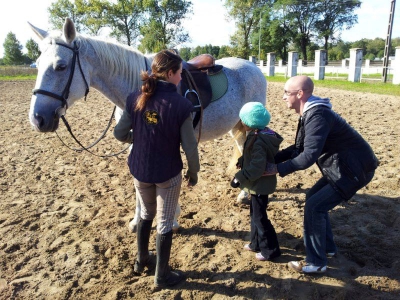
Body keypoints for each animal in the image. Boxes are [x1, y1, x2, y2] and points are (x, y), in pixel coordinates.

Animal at [27, 18, 266, 232]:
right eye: (37, 65)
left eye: (61, 66)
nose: (38, 119)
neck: (146, 89)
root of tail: (253, 67)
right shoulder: (136, 141)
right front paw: (137, 221)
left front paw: (172, 218)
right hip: (236, 127)